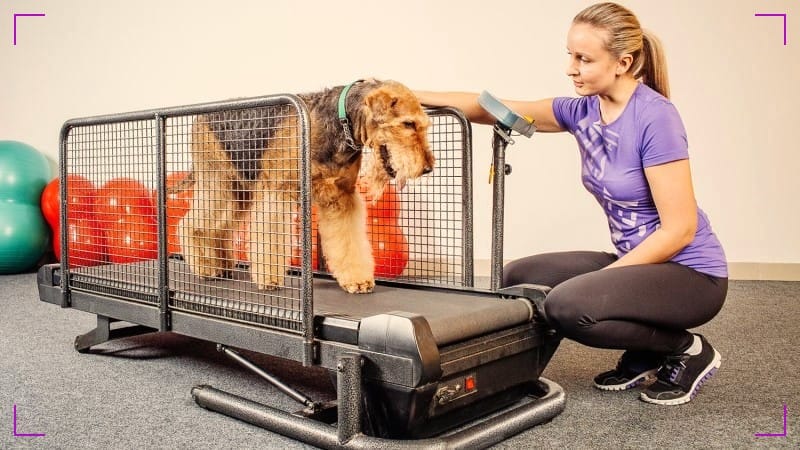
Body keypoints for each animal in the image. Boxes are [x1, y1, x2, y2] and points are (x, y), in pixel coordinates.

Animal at [179, 79, 434, 294]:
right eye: (408, 123)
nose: (428, 168)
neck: (341, 123)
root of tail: (198, 119)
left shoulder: (341, 197)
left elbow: (348, 242)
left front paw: (357, 280)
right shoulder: (277, 193)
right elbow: (271, 241)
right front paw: (269, 279)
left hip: (237, 191)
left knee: (220, 229)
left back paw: (222, 266)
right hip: (217, 183)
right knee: (189, 224)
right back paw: (205, 267)